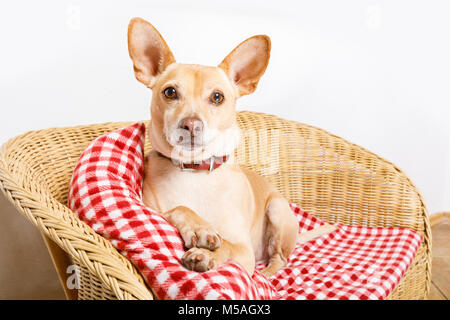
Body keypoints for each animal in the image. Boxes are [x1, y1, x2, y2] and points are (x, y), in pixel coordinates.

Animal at [126, 18, 334, 278]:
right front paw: (200, 228)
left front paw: (206, 254)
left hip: (277, 211)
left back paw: (264, 276)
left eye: (217, 97)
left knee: (280, 258)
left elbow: (226, 246)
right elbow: (179, 208)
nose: (191, 125)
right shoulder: (153, 211)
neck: (194, 172)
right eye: (170, 92)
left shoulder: (244, 252)